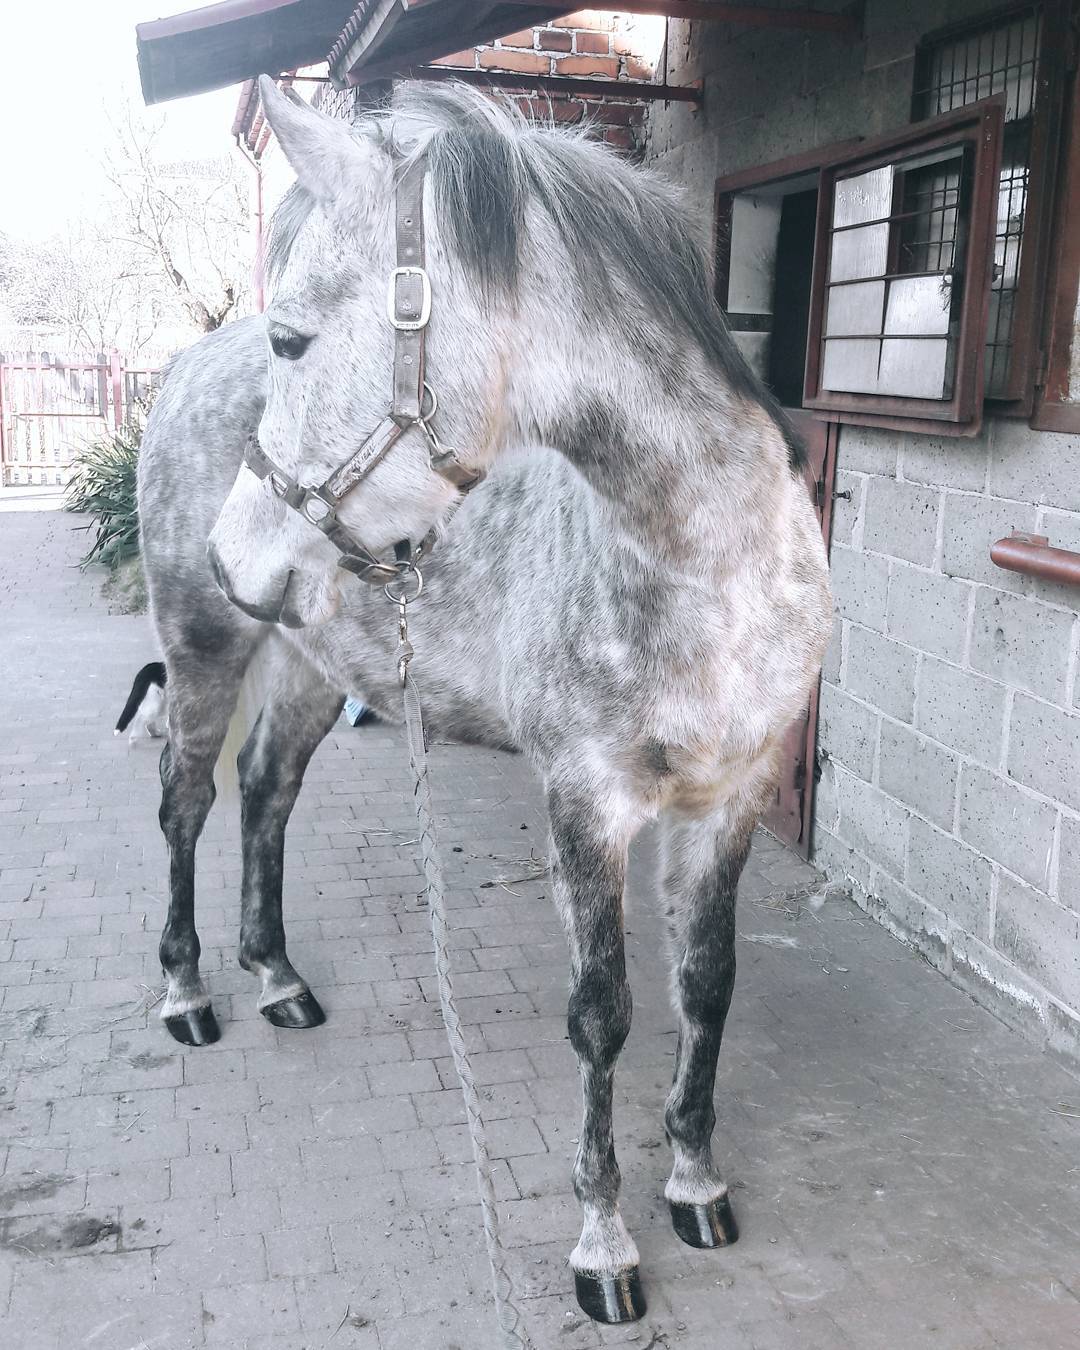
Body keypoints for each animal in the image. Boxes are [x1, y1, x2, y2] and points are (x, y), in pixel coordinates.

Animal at [137, 79, 832, 1325]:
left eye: (292, 336)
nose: (232, 552)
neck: (710, 569)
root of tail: (178, 370)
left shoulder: (731, 802)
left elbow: (707, 986)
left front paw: (696, 1184)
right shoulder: (585, 804)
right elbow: (603, 1013)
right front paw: (603, 1244)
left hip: (310, 665)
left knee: (264, 795)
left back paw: (279, 981)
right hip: (209, 649)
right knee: (185, 806)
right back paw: (187, 996)